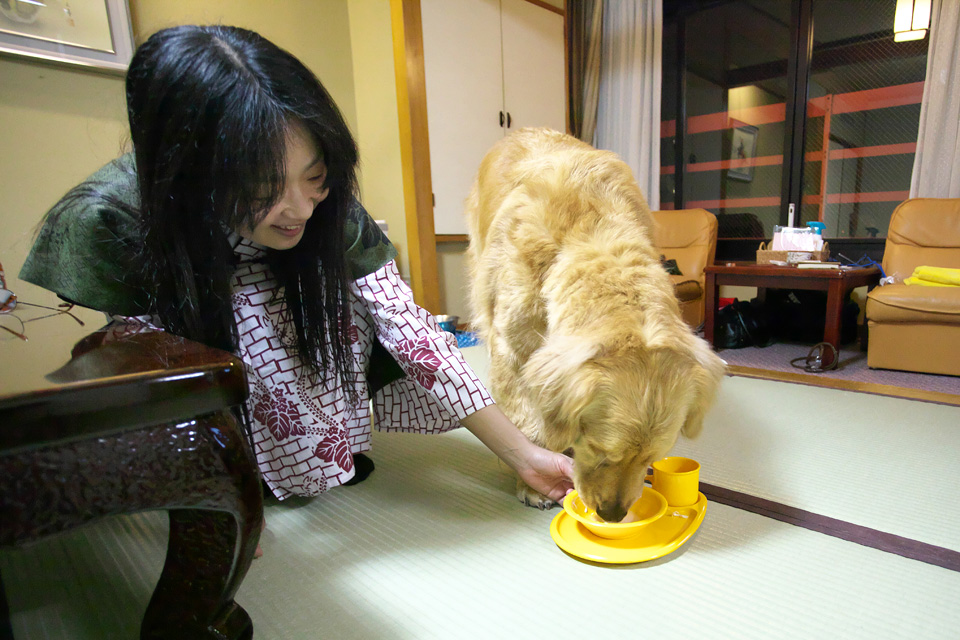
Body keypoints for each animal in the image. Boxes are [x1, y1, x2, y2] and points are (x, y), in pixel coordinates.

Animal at [465, 128, 726, 522]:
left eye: (651, 459)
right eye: (599, 450)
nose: (613, 515)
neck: (593, 230)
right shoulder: (513, 346)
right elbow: (528, 424)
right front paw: (532, 483)